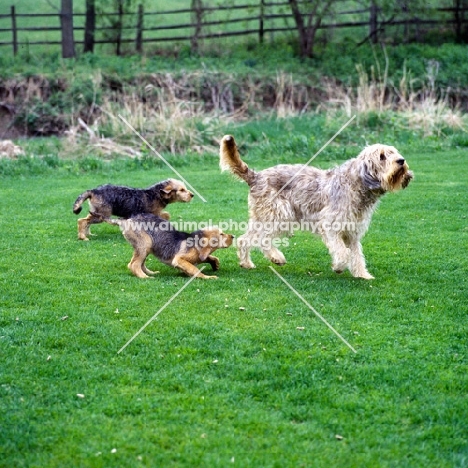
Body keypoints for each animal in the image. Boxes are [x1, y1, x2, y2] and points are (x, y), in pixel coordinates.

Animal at [219, 133, 414, 280]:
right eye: (382, 156)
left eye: (394, 152)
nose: (402, 161)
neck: (357, 184)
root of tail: (256, 176)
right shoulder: (331, 226)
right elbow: (343, 253)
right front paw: (338, 266)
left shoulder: (352, 232)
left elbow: (356, 255)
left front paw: (362, 275)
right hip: (280, 215)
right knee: (260, 239)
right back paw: (275, 257)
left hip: (267, 217)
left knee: (246, 239)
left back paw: (247, 263)